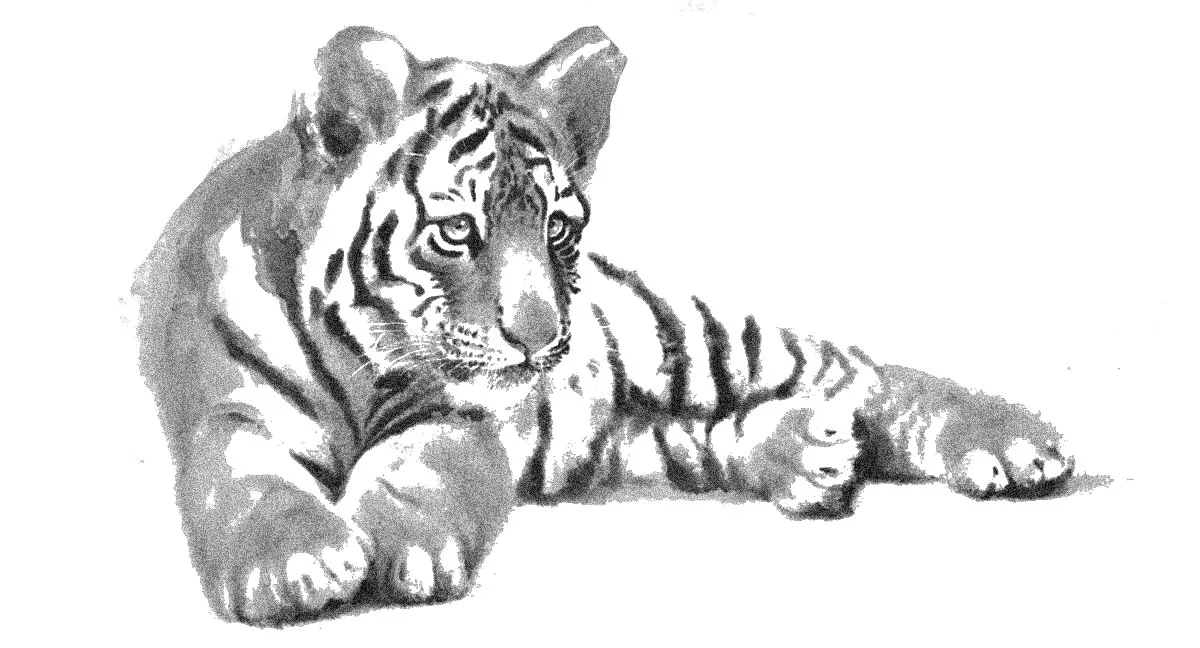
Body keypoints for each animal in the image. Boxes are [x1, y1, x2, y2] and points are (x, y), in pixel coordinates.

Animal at [133, 25, 1073, 625]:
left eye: (556, 227)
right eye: (456, 232)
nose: (541, 338)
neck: (355, 355)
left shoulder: (455, 417)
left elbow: (419, 472)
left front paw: (396, 546)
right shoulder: (233, 411)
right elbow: (244, 483)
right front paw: (295, 563)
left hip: (685, 335)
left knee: (861, 370)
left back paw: (1014, 441)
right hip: (616, 442)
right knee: (709, 436)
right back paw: (809, 454)